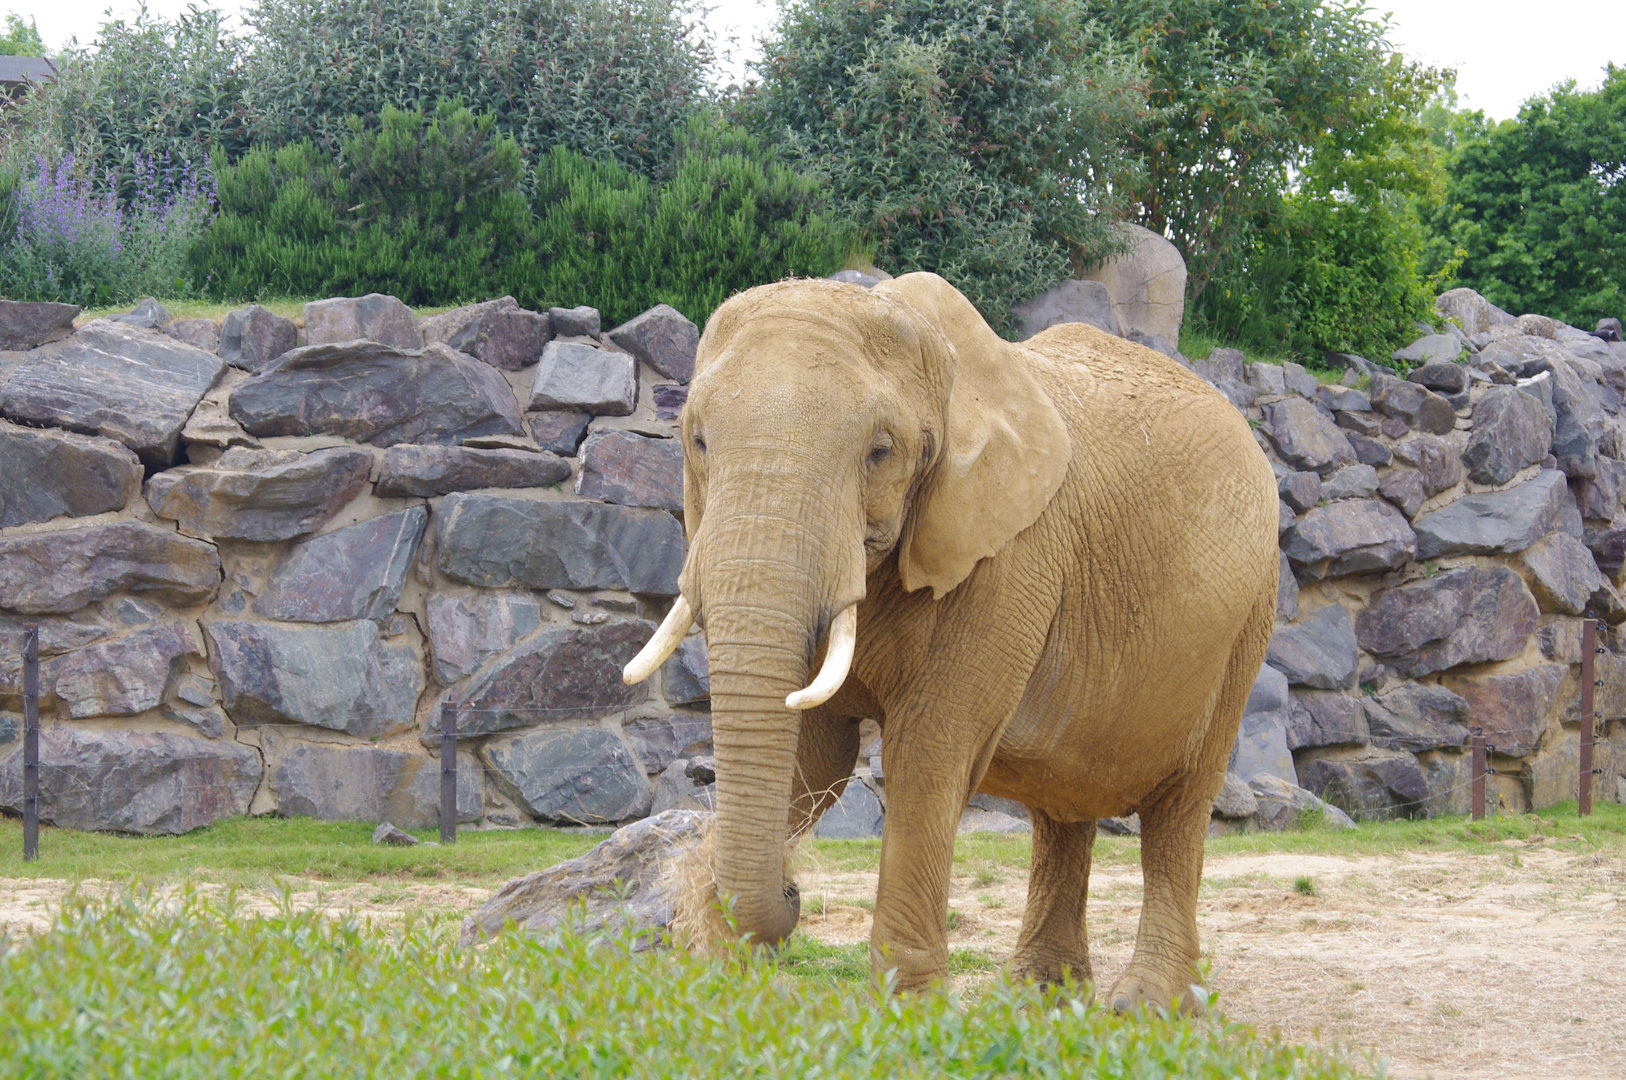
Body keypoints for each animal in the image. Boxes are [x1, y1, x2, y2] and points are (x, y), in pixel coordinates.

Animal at [623, 272, 1279, 1008]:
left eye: (880, 451)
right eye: (699, 442)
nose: (794, 892)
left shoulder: (1008, 557)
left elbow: (927, 752)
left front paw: (906, 1008)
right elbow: (814, 755)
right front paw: (720, 981)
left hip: (1246, 623)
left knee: (1179, 809)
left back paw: (1145, 1007)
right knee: (1062, 809)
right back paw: (1039, 997)